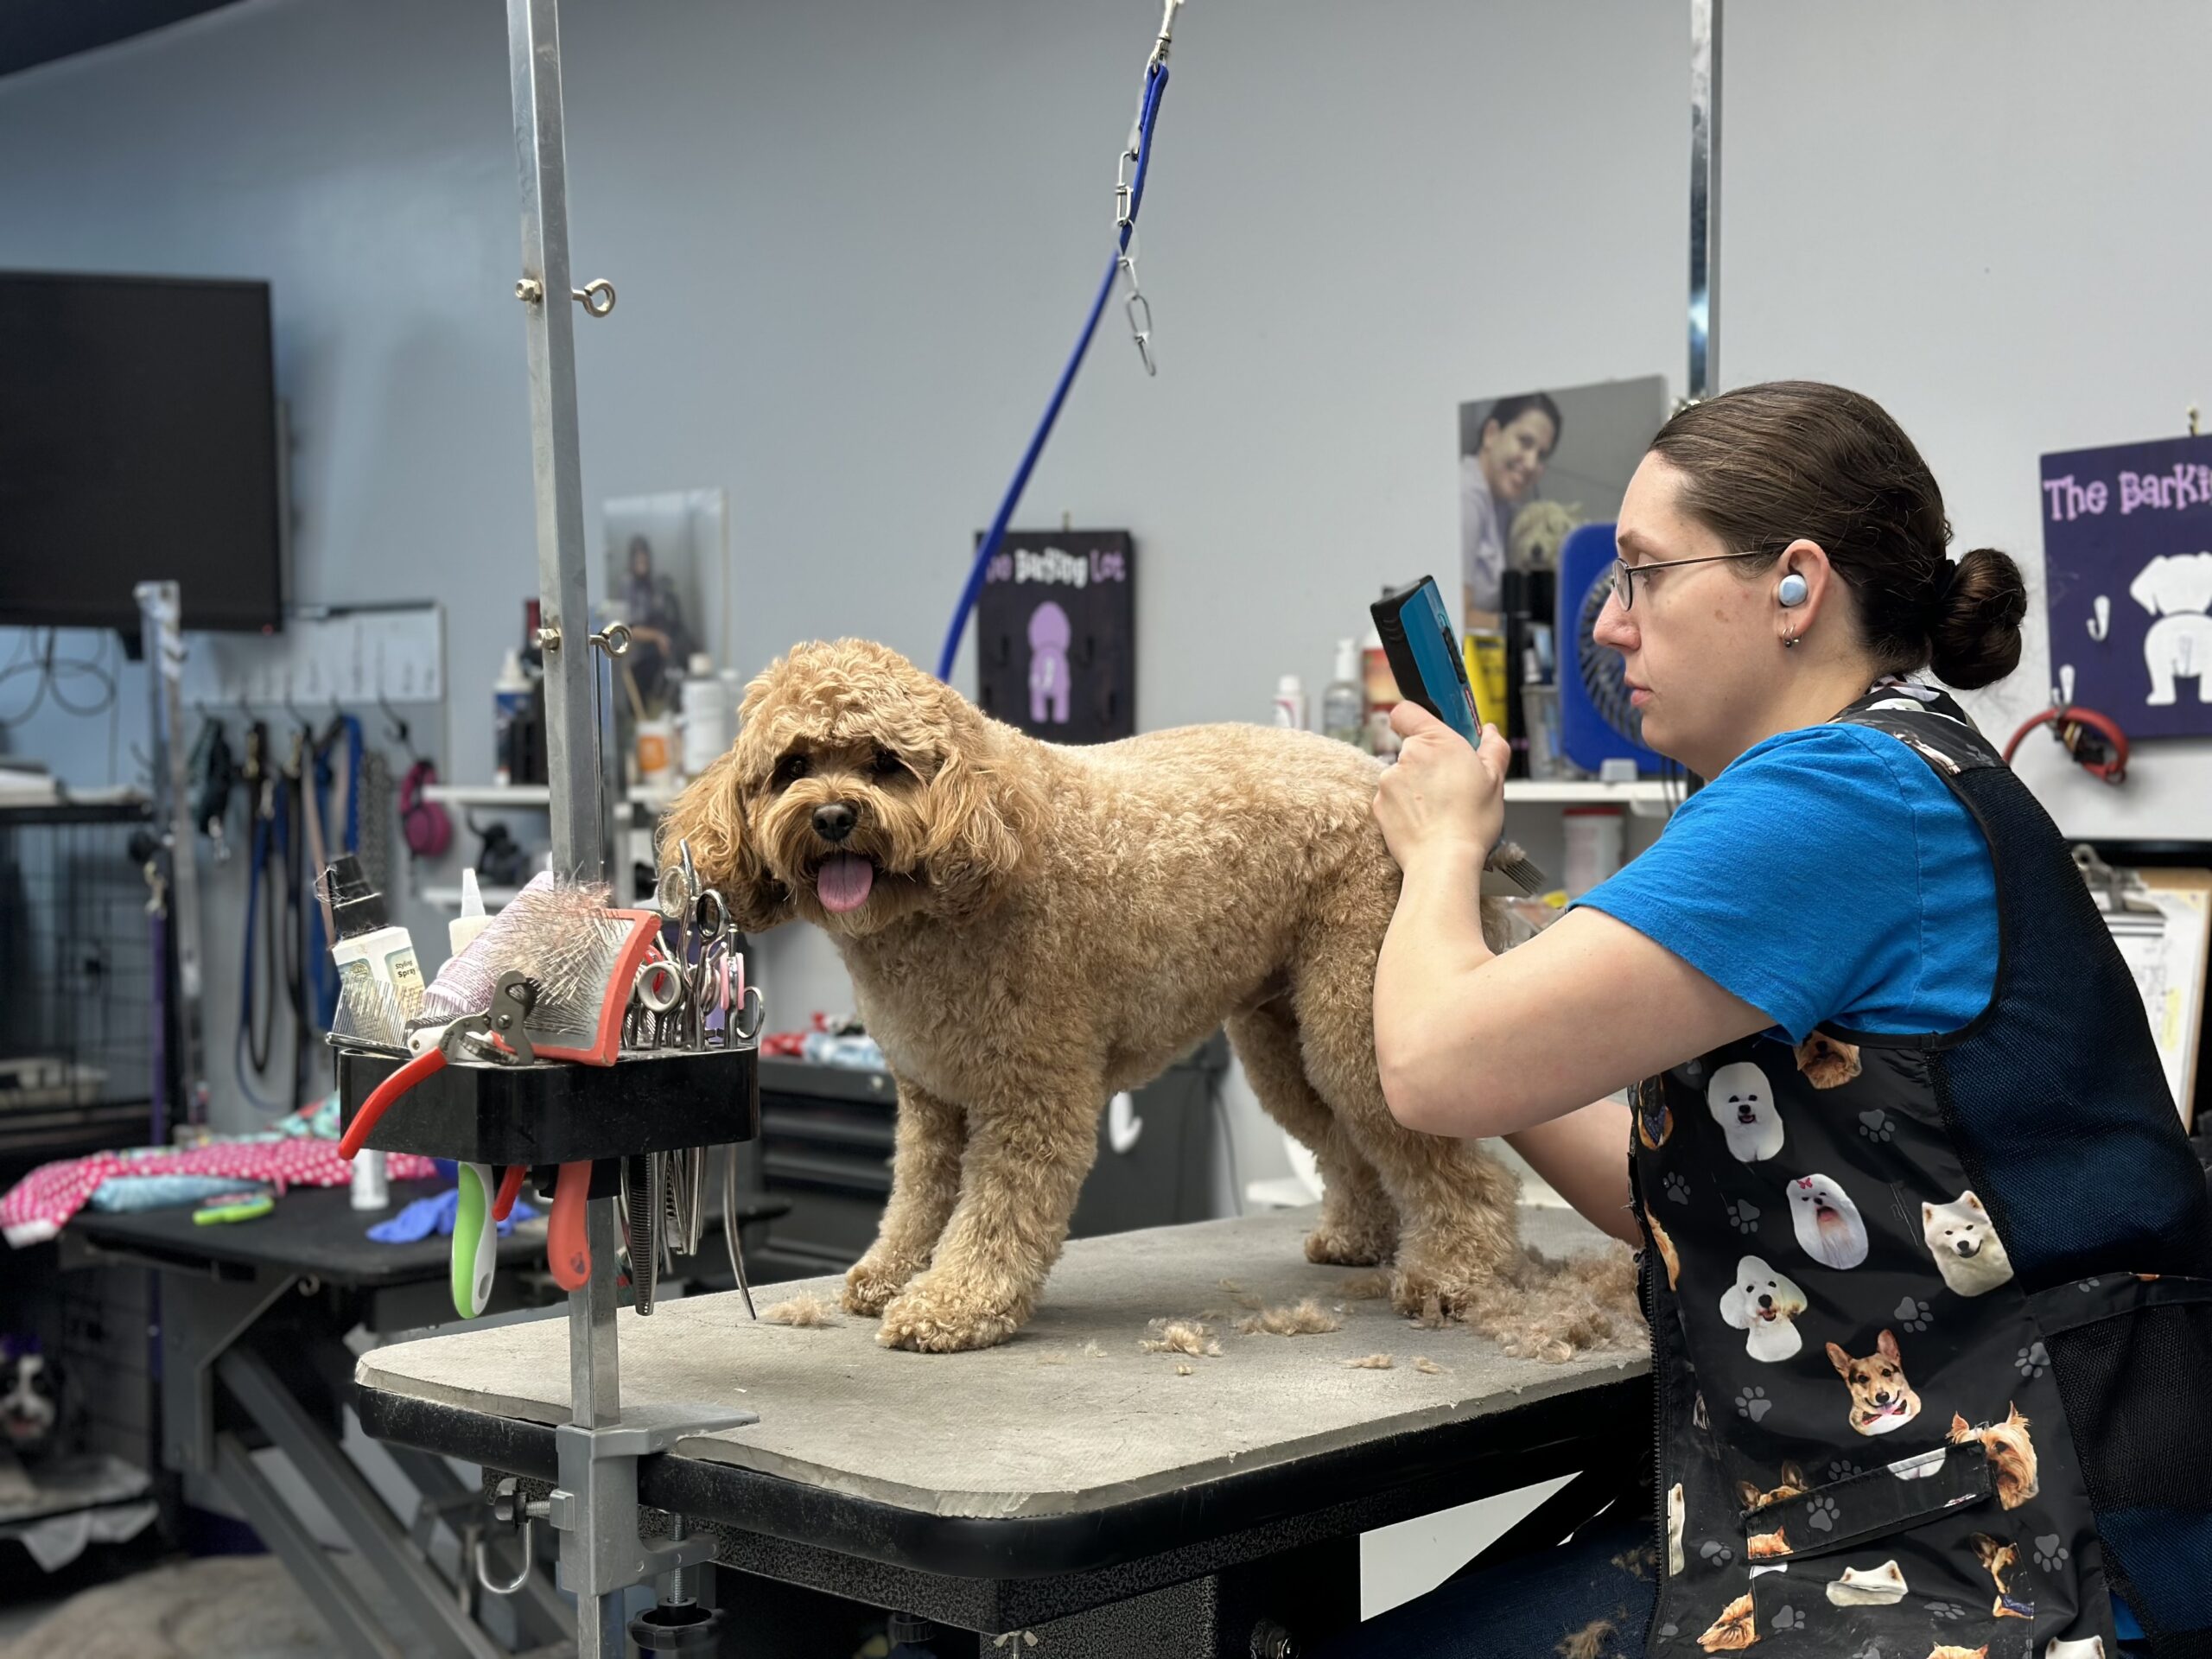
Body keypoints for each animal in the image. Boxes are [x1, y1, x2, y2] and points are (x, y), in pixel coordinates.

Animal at [654, 641, 1628, 1353]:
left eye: (886, 764)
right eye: (793, 765)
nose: (832, 816)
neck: (956, 876)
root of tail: (1375, 778)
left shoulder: (1031, 1094)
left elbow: (997, 1212)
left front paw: (954, 1305)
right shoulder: (932, 1097)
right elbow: (919, 1196)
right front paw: (889, 1274)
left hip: (1357, 1027)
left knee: (1460, 1169)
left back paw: (1452, 1272)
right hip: (1285, 1043)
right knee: (1351, 1149)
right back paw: (1360, 1237)